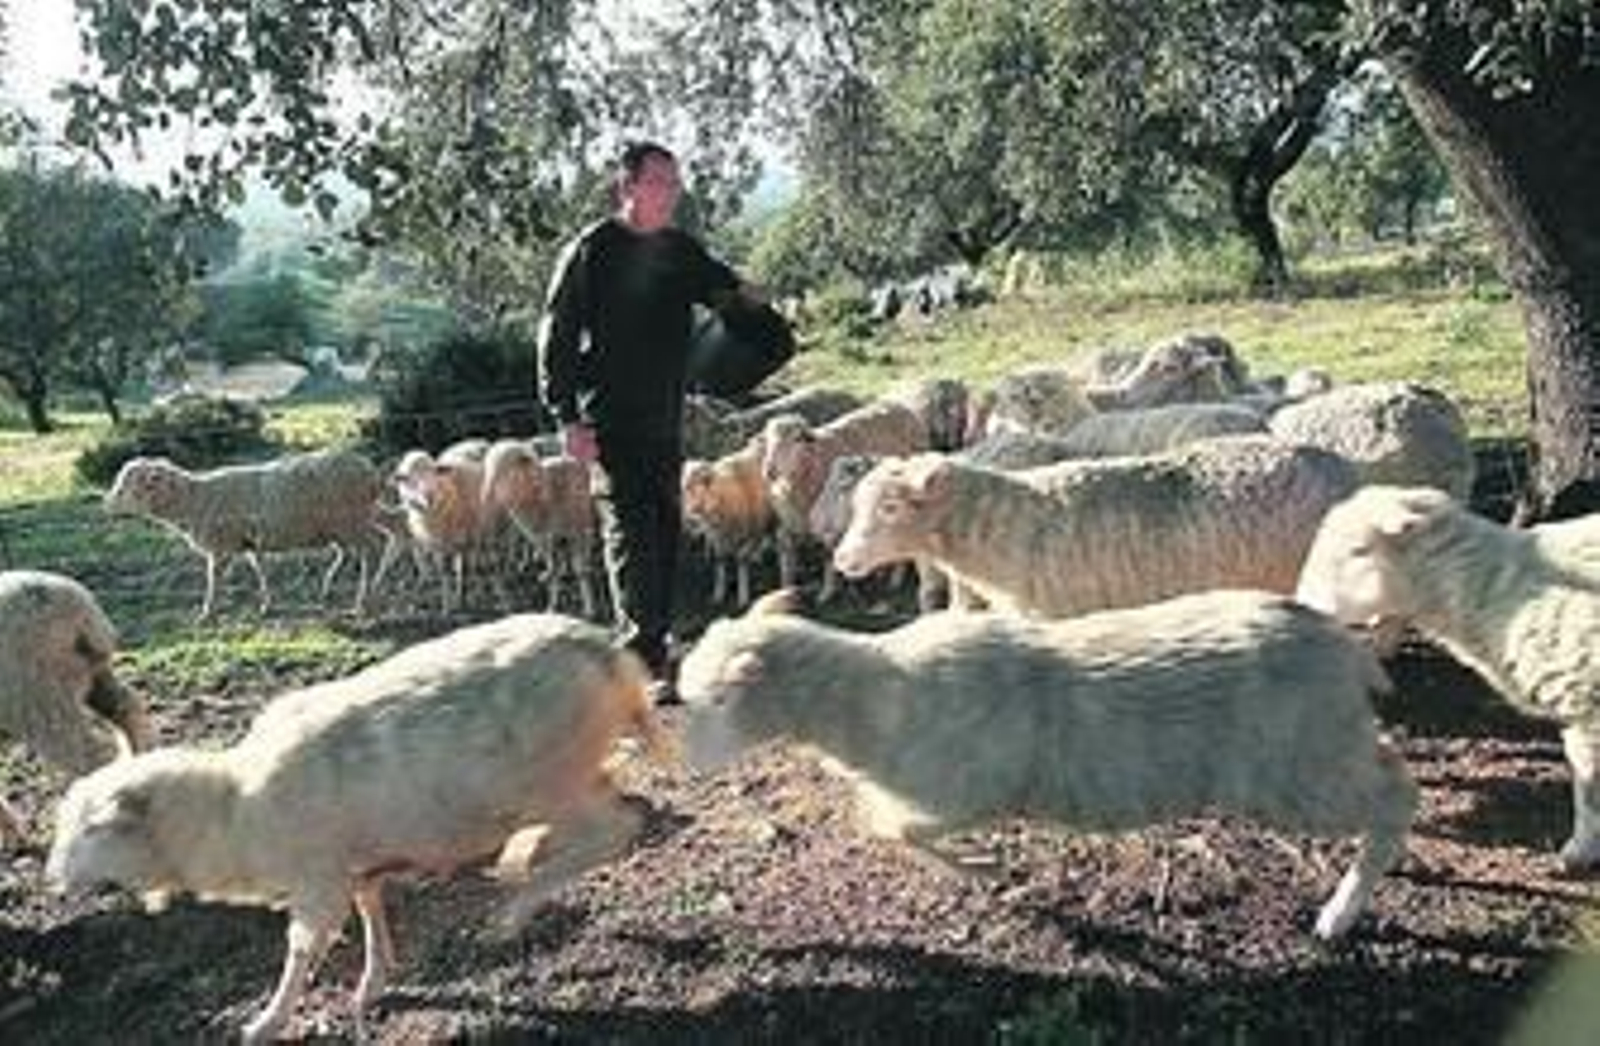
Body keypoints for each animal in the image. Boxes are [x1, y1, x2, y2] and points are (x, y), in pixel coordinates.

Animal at [46, 613, 669, 1044]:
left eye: (92, 829)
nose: (52, 881)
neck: (233, 810)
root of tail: (604, 650)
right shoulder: (359, 864)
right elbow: (372, 909)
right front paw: (374, 982)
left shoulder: (318, 881)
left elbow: (300, 951)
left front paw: (267, 1021)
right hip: (566, 779)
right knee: (610, 811)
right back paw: (526, 856)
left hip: (550, 782)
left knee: (619, 827)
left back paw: (515, 908)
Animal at [104, 450, 391, 621]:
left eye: (129, 485)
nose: (107, 503)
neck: (196, 499)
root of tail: (370, 471)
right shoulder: (248, 543)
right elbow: (259, 571)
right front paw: (267, 605)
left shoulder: (222, 546)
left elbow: (214, 579)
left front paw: (207, 612)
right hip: (344, 524)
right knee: (359, 548)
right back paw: (333, 589)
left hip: (350, 520)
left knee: (373, 547)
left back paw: (364, 602)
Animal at [481, 439, 600, 618]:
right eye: (487, 466)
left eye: (505, 466)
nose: (486, 495)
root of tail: (566, 457)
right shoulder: (541, 538)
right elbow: (553, 568)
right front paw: (552, 607)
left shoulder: (575, 532)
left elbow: (580, 569)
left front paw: (589, 609)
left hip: (581, 523)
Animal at [677, 589, 1416, 940]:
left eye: (704, 703)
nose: (684, 766)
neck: (876, 697)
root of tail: (1346, 650)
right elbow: (880, 823)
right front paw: (988, 871)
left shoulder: (965, 793)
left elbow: (894, 830)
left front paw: (988, 869)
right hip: (1324, 748)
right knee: (1391, 770)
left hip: (1294, 771)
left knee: (1396, 798)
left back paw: (1340, 912)